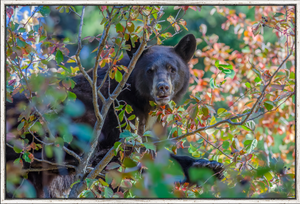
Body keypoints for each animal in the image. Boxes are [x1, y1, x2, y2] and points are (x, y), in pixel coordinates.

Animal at [5, 33, 224, 198]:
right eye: (150, 70)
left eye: (172, 69)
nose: (163, 88)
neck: (144, 103)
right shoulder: (121, 117)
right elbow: (126, 159)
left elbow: (158, 152)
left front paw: (209, 166)